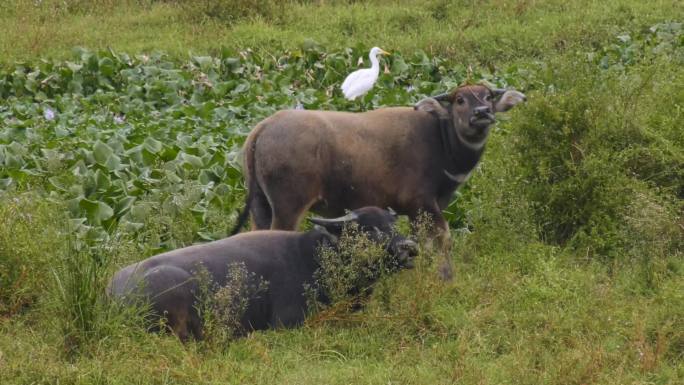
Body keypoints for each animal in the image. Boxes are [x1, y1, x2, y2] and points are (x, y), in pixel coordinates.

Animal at [108, 207, 416, 340]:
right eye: (368, 229)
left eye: (391, 224)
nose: (409, 247)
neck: (315, 259)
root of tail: (113, 295)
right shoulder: (289, 323)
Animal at [232, 83, 528, 243]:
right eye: (459, 99)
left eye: (487, 96)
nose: (482, 113)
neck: (441, 140)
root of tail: (262, 128)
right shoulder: (423, 204)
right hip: (288, 207)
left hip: (260, 205)